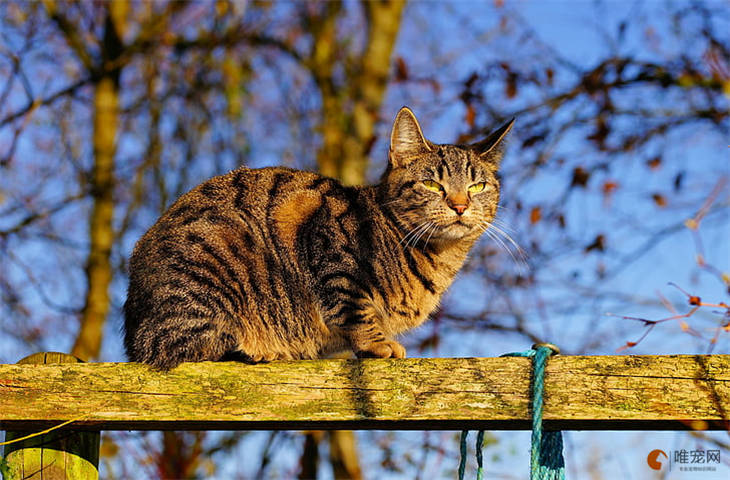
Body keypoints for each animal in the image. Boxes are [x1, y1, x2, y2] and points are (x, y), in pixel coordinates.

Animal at [123, 108, 512, 372]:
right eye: (432, 184)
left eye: (477, 186)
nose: (460, 205)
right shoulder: (327, 243)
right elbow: (355, 308)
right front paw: (377, 344)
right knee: (182, 346)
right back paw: (260, 350)